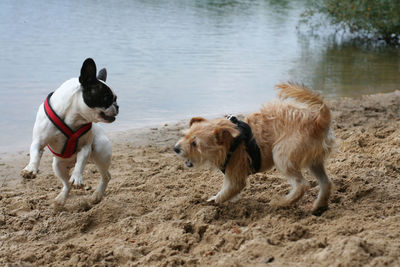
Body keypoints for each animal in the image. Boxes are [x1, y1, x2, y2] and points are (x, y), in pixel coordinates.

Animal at [21, 58, 119, 205]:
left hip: (100, 154)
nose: (117, 106)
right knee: (67, 183)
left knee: (105, 176)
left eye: (115, 98)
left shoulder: (85, 147)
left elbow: (80, 162)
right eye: (106, 98)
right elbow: (35, 154)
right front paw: (31, 169)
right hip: (57, 166)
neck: (74, 116)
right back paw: (61, 199)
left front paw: (77, 177)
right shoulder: (39, 141)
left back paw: (97, 195)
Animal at [174, 82, 334, 217]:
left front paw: (212, 201)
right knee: (325, 183)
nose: (175, 148)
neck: (232, 142)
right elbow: (230, 192)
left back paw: (281, 202)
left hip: (282, 155)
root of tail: (318, 120)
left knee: (302, 185)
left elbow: (226, 192)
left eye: (195, 143)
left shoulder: (236, 175)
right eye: (185, 135)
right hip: (314, 161)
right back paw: (318, 206)